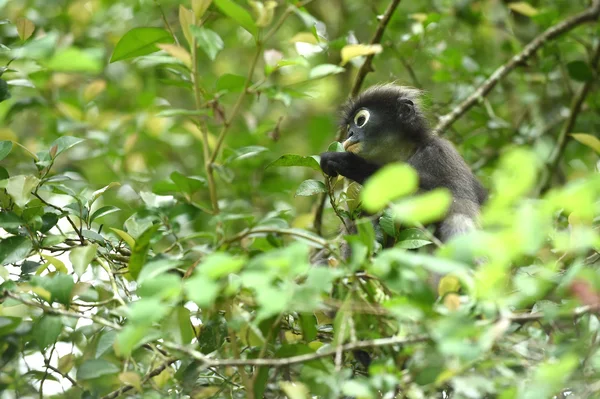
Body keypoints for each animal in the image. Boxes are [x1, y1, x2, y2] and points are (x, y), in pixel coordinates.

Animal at [318, 83, 488, 244]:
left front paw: (352, 164)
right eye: (348, 128)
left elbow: (456, 203)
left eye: (360, 120)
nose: (350, 133)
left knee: (458, 219)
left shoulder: (440, 154)